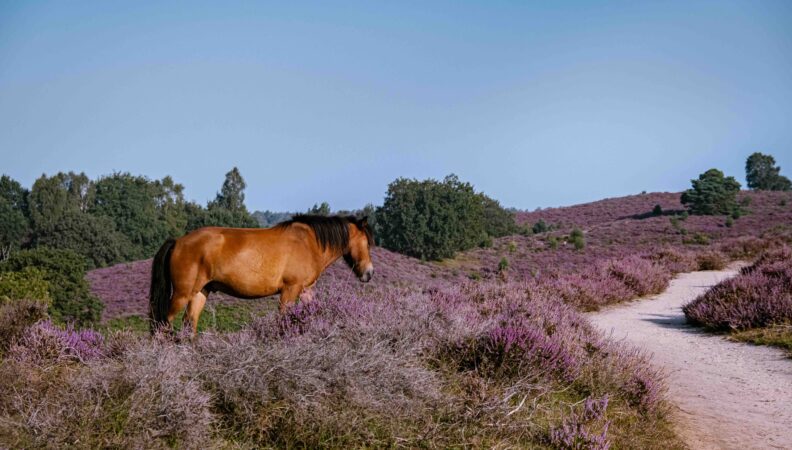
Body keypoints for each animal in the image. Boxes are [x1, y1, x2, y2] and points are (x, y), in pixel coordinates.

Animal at [149, 215, 374, 334]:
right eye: (368, 242)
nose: (369, 273)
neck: (309, 242)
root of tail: (178, 241)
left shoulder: (306, 290)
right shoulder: (289, 290)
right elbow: (283, 320)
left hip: (200, 292)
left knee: (189, 324)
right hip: (181, 294)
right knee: (163, 322)